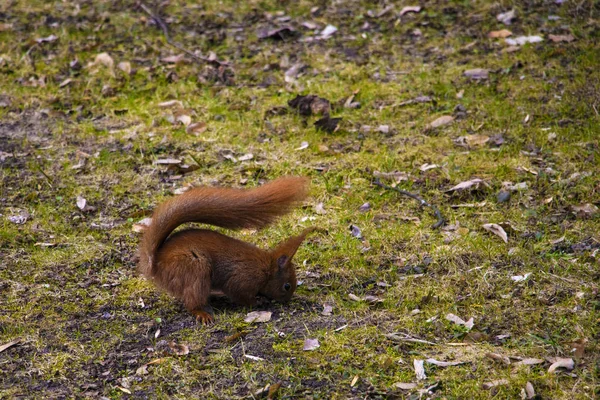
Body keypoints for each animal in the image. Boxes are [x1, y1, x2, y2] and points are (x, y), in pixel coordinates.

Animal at [138, 177, 312, 324]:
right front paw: (258, 301)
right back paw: (202, 313)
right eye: (287, 286)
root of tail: (156, 264)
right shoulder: (244, 279)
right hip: (195, 267)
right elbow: (240, 294)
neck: (267, 269)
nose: (287, 301)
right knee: (192, 302)